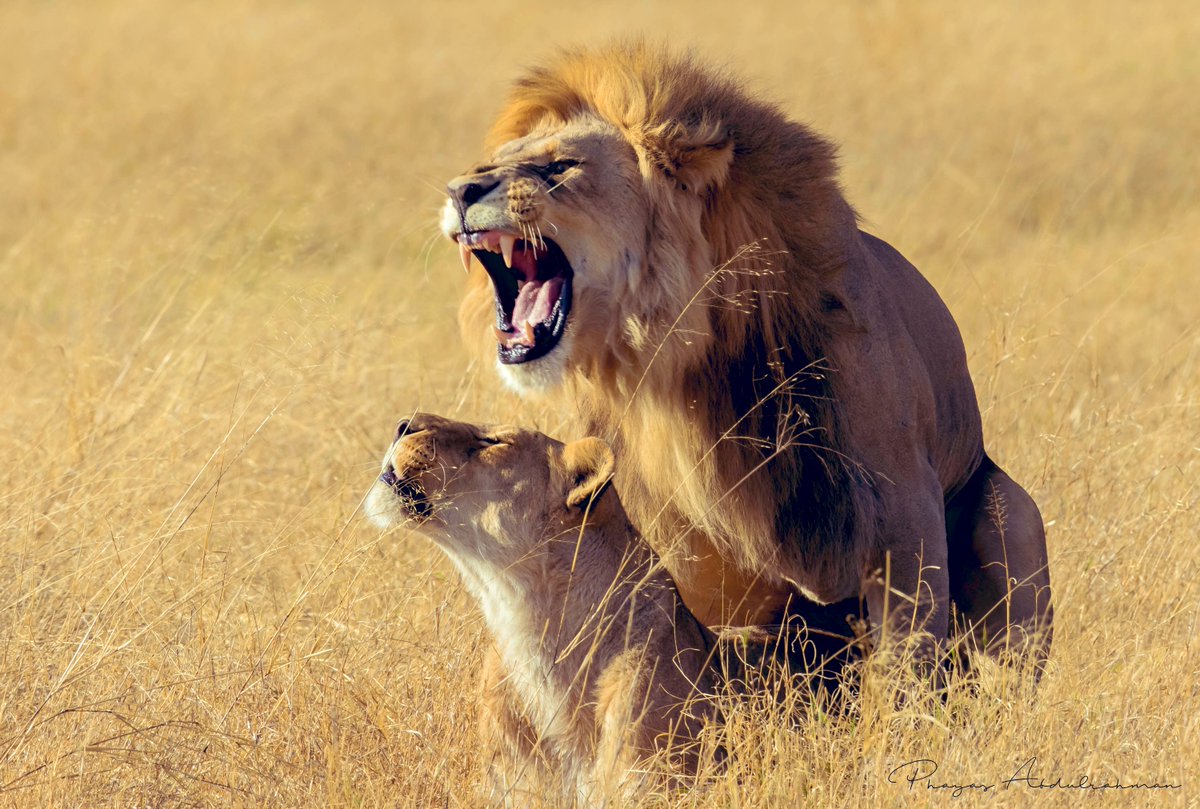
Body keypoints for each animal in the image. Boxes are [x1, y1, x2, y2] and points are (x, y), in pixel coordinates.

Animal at [439, 40, 1052, 667]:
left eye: (559, 167)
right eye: (491, 163)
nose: (459, 191)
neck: (674, 368)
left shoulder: (904, 513)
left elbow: (906, 657)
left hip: (1014, 511)